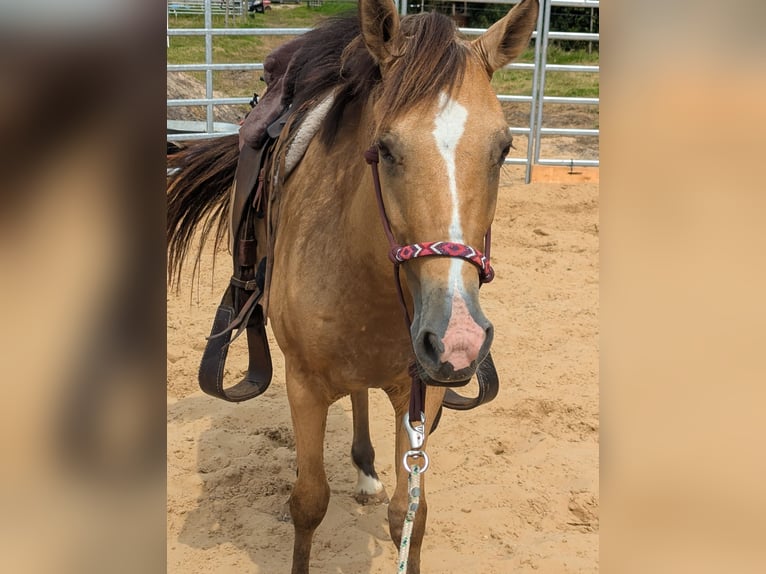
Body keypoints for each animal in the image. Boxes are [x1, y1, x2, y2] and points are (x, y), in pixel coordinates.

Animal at [167, 1, 538, 572]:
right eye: (383, 148)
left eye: (503, 149)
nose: (456, 339)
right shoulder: (303, 385)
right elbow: (308, 503)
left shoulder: (423, 393)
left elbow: (409, 515)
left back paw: (365, 470)